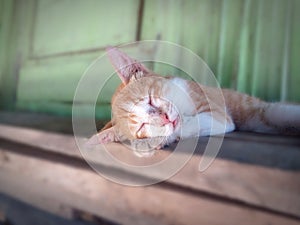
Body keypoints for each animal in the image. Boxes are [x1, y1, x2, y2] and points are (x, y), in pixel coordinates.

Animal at [87, 47, 300, 156]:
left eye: (150, 100)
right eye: (141, 127)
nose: (165, 119)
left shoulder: (218, 115)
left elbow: (192, 123)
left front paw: (162, 138)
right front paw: (159, 137)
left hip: (276, 112)